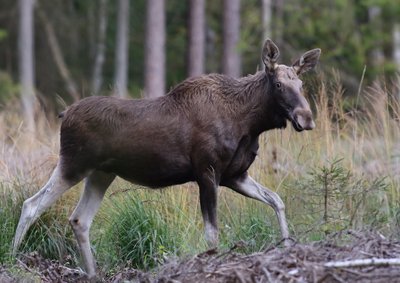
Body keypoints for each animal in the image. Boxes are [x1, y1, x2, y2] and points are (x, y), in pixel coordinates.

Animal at [13, 38, 322, 280]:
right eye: (279, 84)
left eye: (301, 83)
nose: (306, 118)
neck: (250, 123)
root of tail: (64, 113)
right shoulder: (207, 172)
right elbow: (212, 233)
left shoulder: (235, 175)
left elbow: (277, 200)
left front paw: (288, 247)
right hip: (74, 165)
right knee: (31, 205)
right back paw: (13, 259)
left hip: (101, 173)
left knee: (79, 219)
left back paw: (92, 273)